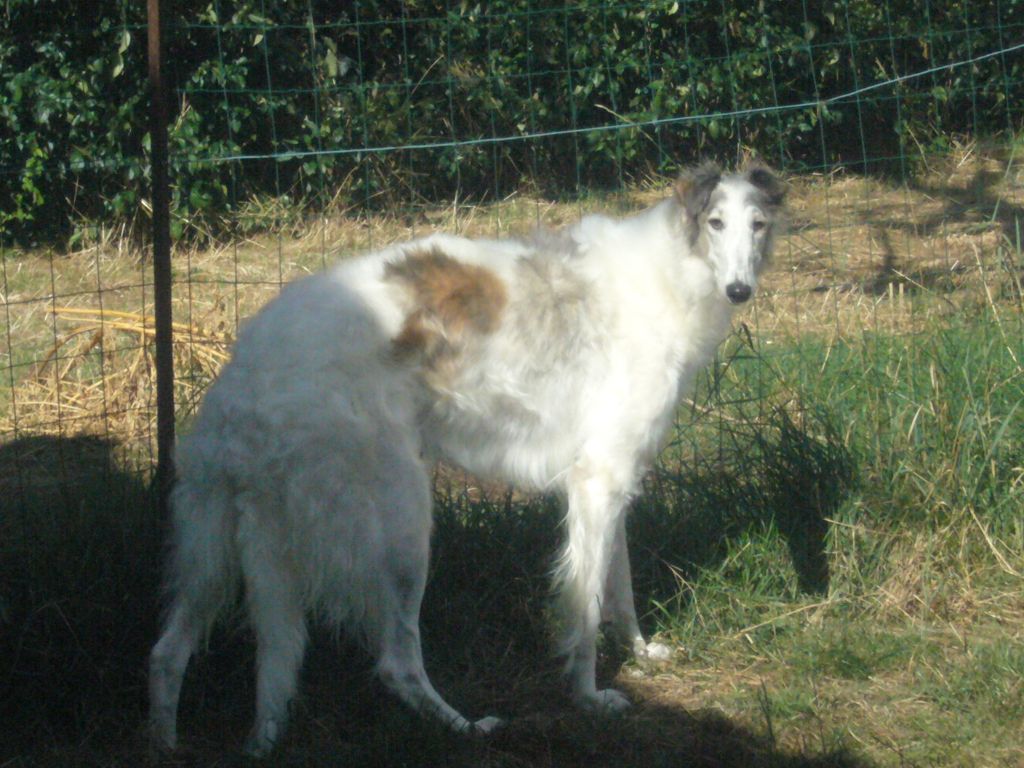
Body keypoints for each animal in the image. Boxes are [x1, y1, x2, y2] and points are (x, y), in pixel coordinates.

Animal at [146, 162, 782, 757]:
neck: (670, 270)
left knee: (169, 652)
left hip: (219, 552)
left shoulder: (611, 478)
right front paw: (589, 697)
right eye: (715, 222)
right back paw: (465, 727)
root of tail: (244, 382)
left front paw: (642, 652)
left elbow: (618, 591)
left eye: (758, 225)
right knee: (397, 663)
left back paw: (173, 742)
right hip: (400, 527)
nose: (739, 291)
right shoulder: (598, 482)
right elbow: (586, 609)